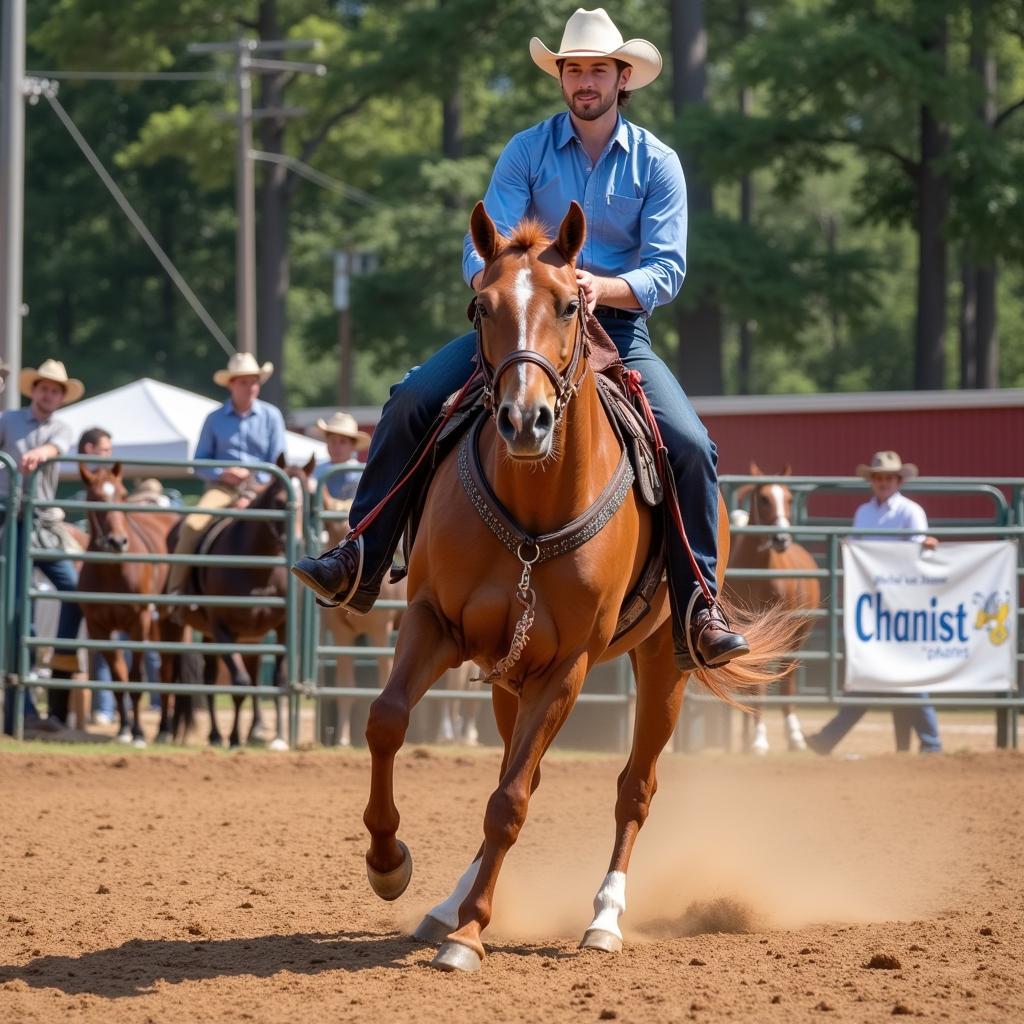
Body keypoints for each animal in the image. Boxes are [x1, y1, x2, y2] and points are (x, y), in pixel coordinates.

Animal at [78, 464, 179, 745]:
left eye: (123, 495)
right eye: (95, 498)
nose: (117, 541)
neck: (112, 571)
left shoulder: (139, 623)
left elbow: (135, 678)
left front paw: (138, 733)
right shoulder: (99, 628)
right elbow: (117, 678)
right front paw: (124, 729)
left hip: (169, 623)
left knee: (167, 671)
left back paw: (165, 729)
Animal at [356, 201, 802, 974]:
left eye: (570, 304)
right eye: (481, 306)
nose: (524, 419)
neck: (535, 509)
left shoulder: (568, 666)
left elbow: (509, 802)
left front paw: (470, 938)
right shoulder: (434, 622)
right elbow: (388, 721)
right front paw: (390, 864)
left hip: (663, 666)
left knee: (633, 790)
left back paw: (604, 919)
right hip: (509, 677)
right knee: (520, 767)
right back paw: (446, 904)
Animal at [729, 468, 823, 757]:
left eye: (790, 498)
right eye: (763, 499)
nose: (781, 539)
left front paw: (759, 739)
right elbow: (753, 684)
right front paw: (755, 737)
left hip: (796, 638)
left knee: (788, 679)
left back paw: (794, 736)